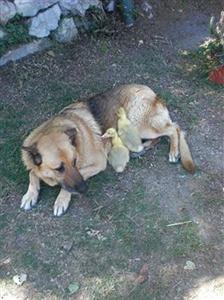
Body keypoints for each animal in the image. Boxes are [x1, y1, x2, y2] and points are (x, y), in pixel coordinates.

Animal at [21, 84, 196, 216]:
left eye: (74, 161)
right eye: (59, 168)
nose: (84, 189)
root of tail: (153, 93)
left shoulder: (98, 163)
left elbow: (69, 183)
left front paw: (61, 200)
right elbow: (32, 173)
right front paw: (30, 195)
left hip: (139, 124)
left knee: (174, 128)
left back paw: (174, 151)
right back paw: (142, 149)